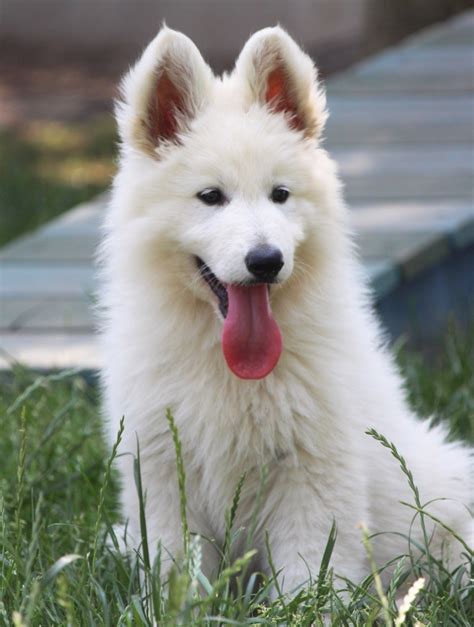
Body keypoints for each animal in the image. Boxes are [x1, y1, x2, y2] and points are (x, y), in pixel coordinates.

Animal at [99, 25, 470, 592]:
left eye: (280, 194)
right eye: (211, 197)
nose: (266, 261)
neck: (228, 364)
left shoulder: (313, 471)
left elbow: (310, 570)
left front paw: (313, 604)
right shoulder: (162, 470)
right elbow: (177, 567)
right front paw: (180, 601)